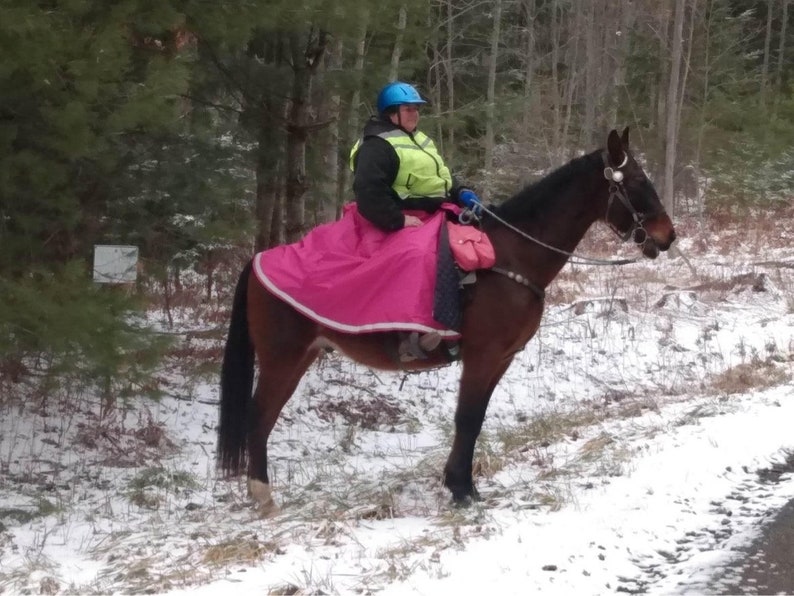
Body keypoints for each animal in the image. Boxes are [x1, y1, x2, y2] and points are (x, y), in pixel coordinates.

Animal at [217, 128, 676, 513]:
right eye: (636, 182)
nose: (668, 236)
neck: (510, 256)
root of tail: (257, 261)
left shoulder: (502, 359)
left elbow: (476, 420)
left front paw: (464, 484)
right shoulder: (483, 355)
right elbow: (467, 419)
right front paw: (460, 489)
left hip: (299, 358)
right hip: (281, 358)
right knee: (259, 416)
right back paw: (262, 496)